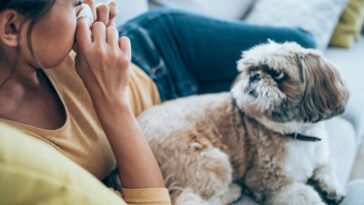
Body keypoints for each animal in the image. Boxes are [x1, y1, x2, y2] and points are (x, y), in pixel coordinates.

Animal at [137, 41, 350, 205]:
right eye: (251, 69)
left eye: (277, 73)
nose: (254, 76)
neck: (297, 134)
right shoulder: (267, 180)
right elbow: (306, 195)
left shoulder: (320, 155)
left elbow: (326, 167)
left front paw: (333, 187)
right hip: (211, 161)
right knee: (192, 199)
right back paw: (233, 191)